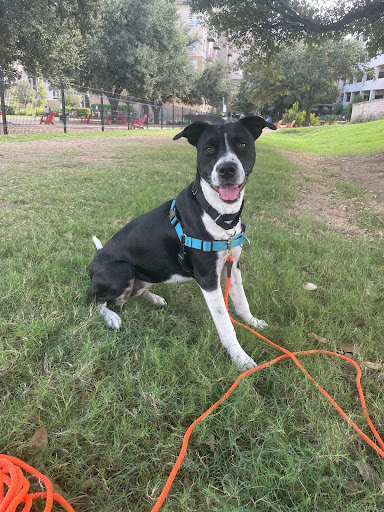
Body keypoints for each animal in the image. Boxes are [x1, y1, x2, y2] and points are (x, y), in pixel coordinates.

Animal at [90, 117, 276, 368]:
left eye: (243, 145)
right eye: (208, 149)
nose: (227, 169)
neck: (218, 214)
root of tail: (95, 260)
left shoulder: (233, 265)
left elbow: (241, 302)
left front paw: (253, 322)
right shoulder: (208, 279)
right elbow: (225, 324)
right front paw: (240, 358)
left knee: (132, 293)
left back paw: (154, 297)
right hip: (122, 270)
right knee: (95, 300)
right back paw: (111, 317)